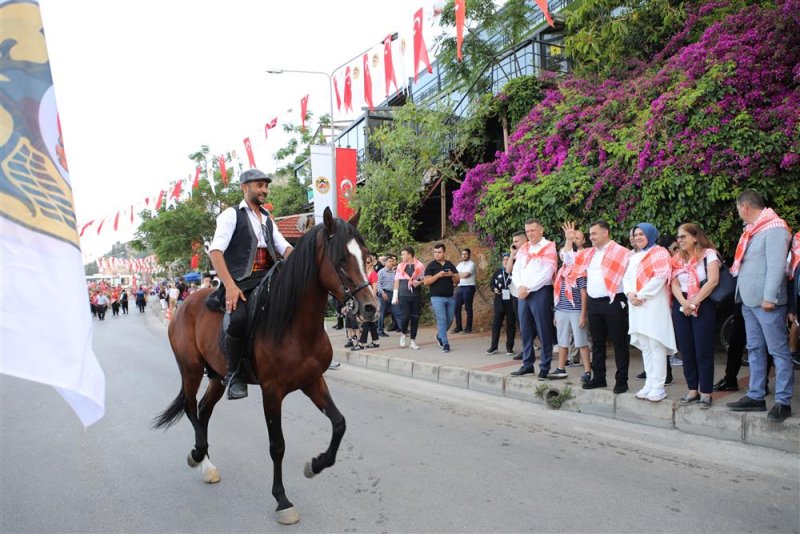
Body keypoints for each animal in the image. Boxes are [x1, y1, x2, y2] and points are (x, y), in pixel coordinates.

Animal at [156, 209, 382, 528]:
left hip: (218, 377)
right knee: (190, 408)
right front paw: (282, 500)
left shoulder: (313, 381)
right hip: (190, 370)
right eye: (340, 259)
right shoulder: (272, 392)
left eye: (366, 256)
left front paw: (316, 464)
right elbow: (278, 445)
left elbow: (339, 423)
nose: (370, 309)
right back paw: (199, 456)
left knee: (203, 411)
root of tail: (184, 303)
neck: (293, 324)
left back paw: (205, 462)